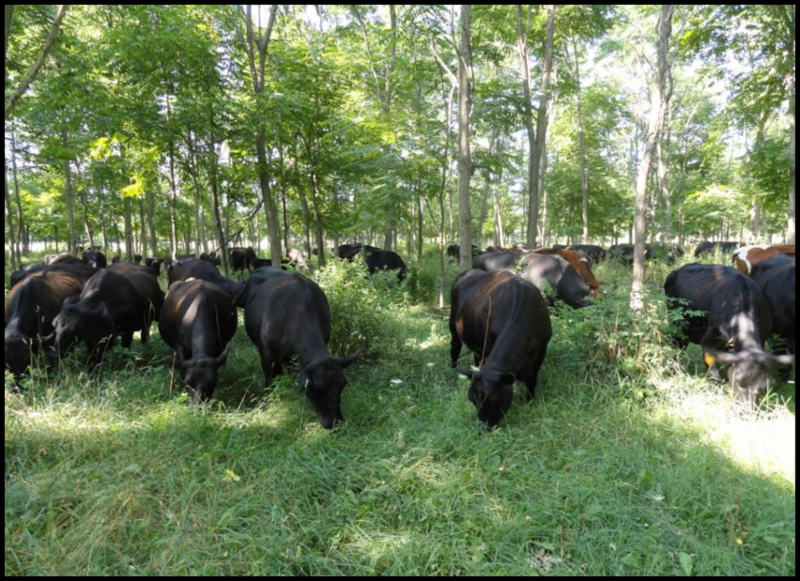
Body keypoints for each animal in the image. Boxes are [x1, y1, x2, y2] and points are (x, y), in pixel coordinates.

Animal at [239, 267, 359, 429]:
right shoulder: (267, 354)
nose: (335, 423)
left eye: (342, 385)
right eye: (315, 389)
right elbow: (269, 378)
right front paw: (268, 401)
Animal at [449, 269, 552, 428]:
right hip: (453, 322)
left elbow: (532, 379)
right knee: (455, 345)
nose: (483, 426)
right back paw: (453, 368)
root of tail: (468, 271)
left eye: (491, 400)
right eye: (471, 399)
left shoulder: (542, 349)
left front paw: (530, 401)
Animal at [664, 263, 794, 411]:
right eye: (738, 382)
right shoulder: (708, 342)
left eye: (764, 387)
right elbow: (714, 374)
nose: (746, 411)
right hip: (678, 329)